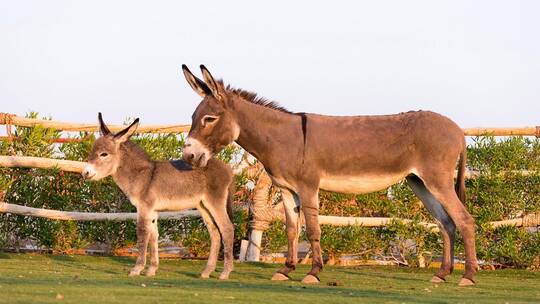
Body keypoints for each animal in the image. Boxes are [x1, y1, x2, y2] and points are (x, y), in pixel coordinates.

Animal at [81, 114, 233, 280]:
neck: (143, 176)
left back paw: (225, 273)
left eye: (104, 154)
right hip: (203, 205)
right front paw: (151, 270)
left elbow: (142, 235)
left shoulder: (144, 208)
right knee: (215, 232)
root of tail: (228, 169)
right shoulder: (152, 211)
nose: (85, 173)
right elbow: (154, 236)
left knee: (227, 229)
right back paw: (206, 272)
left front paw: (136, 269)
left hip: (215, 201)